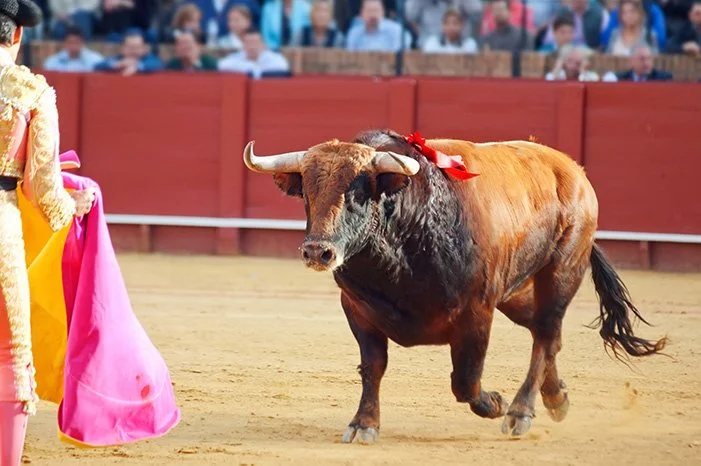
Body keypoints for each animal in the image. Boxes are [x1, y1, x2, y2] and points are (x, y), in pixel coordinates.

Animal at [242, 129, 666, 444]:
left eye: (358, 193)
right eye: (307, 193)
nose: (318, 251)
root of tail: (571, 170)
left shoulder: (476, 311)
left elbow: (465, 380)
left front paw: (494, 402)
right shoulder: (357, 310)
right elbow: (372, 366)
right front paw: (363, 424)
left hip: (560, 271)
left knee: (546, 334)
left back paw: (519, 412)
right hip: (516, 292)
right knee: (546, 334)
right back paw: (556, 398)